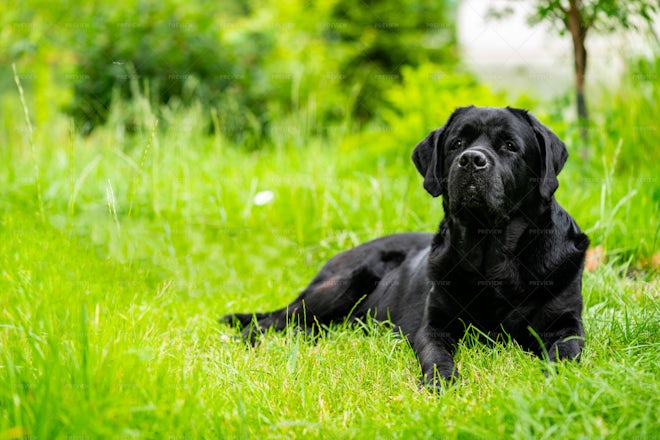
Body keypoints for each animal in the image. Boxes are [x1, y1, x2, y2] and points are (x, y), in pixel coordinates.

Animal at [220, 105, 588, 386]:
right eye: (456, 143)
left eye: (510, 146)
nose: (471, 160)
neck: (492, 257)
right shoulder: (435, 326)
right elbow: (436, 356)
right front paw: (442, 382)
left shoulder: (565, 326)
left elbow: (564, 354)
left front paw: (555, 381)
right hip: (341, 283)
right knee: (273, 319)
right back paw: (251, 341)